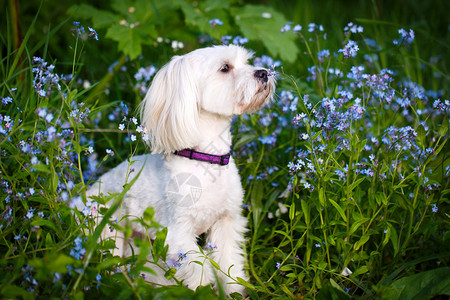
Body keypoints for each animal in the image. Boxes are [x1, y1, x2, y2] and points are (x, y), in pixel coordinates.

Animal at [84, 44, 274, 296]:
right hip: (107, 230)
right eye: (225, 68)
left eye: (246, 62)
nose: (264, 72)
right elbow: (199, 270)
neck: (207, 160)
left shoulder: (226, 222)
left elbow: (228, 261)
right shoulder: (177, 235)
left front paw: (233, 290)